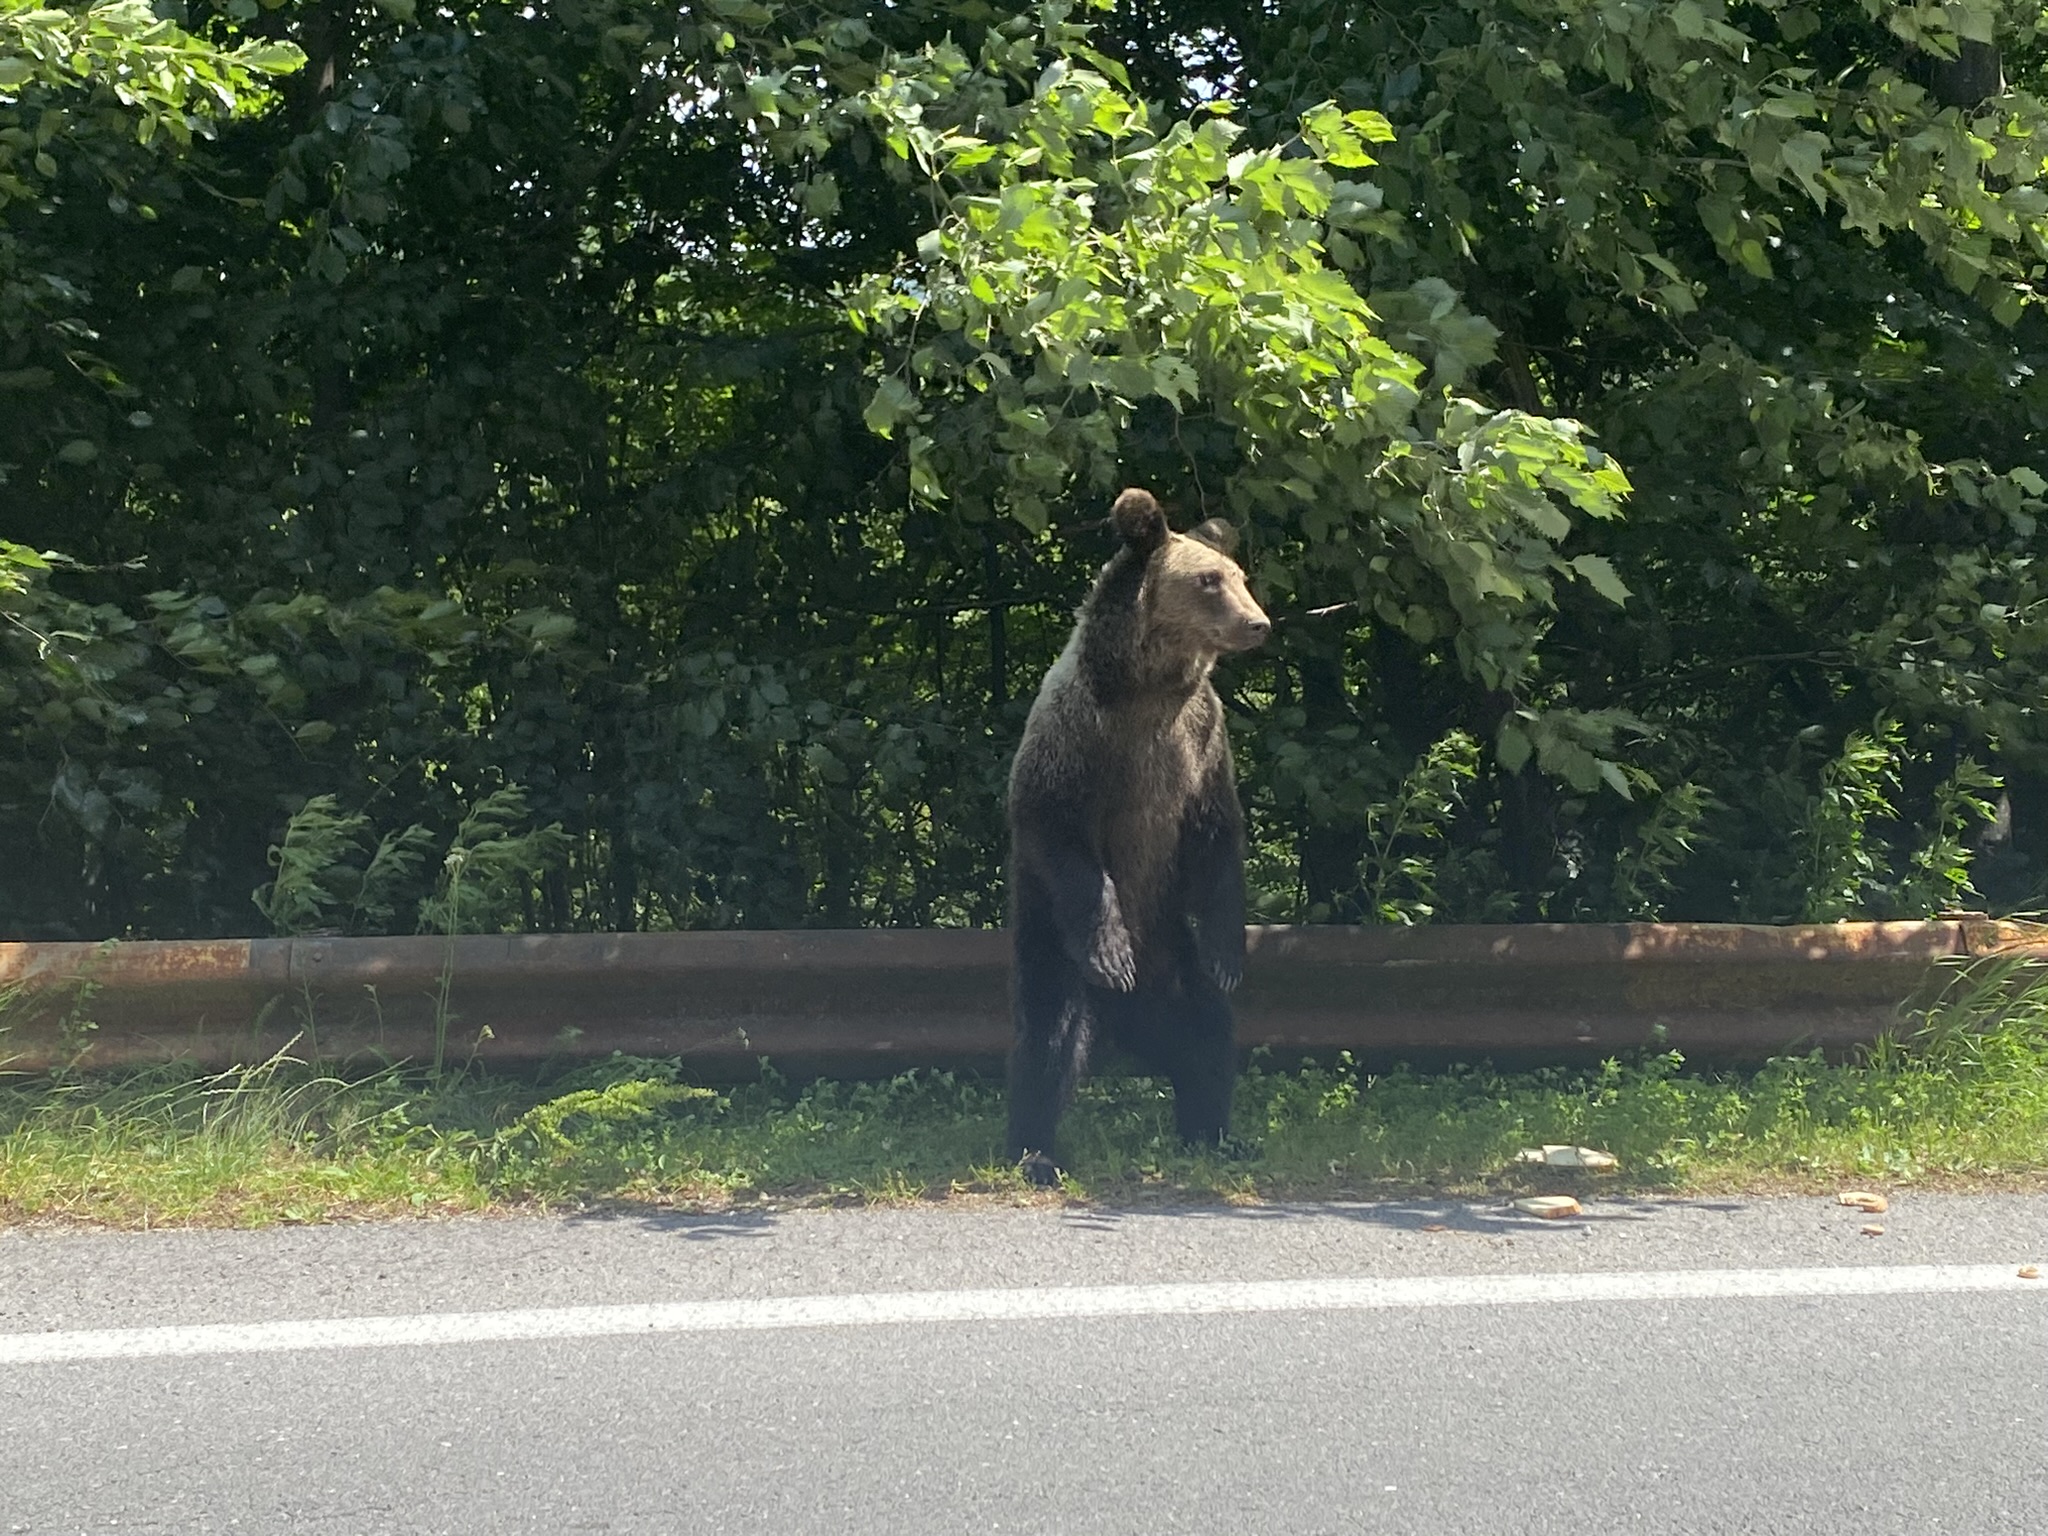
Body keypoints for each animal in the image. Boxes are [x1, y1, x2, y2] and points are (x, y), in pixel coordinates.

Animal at [1003, 487, 1269, 1187]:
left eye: (1239, 575)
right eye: (1209, 581)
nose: (1258, 623)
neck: (1149, 687)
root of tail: (1128, 1019)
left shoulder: (1201, 742)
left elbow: (1217, 836)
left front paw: (1231, 956)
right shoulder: (1078, 738)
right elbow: (1057, 830)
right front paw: (1110, 951)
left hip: (1174, 955)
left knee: (1208, 1033)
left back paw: (1215, 1131)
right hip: (1051, 944)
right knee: (1049, 1035)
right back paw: (1035, 1150)